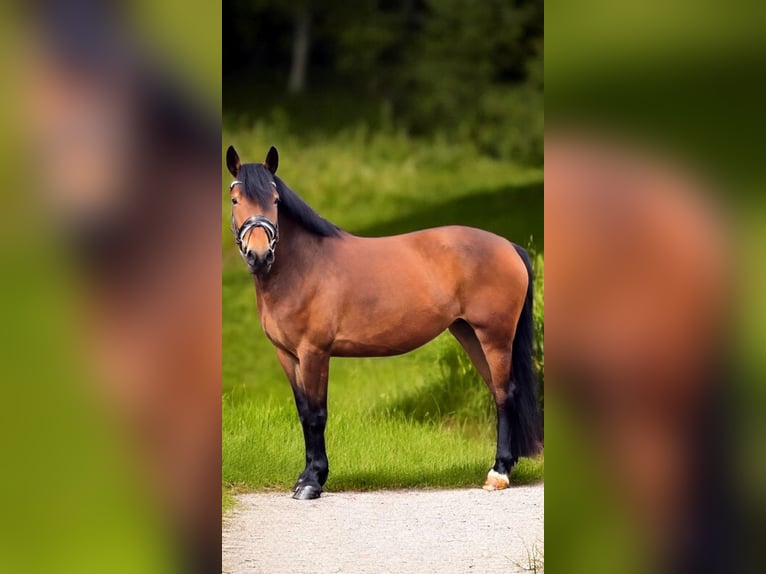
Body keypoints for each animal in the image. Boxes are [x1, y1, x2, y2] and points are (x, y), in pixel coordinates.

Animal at [226, 145, 542, 500]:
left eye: (276, 199)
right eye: (235, 199)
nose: (259, 255)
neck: (302, 267)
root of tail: (509, 246)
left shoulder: (314, 353)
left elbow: (316, 415)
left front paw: (312, 482)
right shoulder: (287, 355)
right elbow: (303, 413)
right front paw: (305, 477)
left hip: (495, 337)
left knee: (504, 394)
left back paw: (498, 473)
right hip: (470, 334)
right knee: (497, 391)